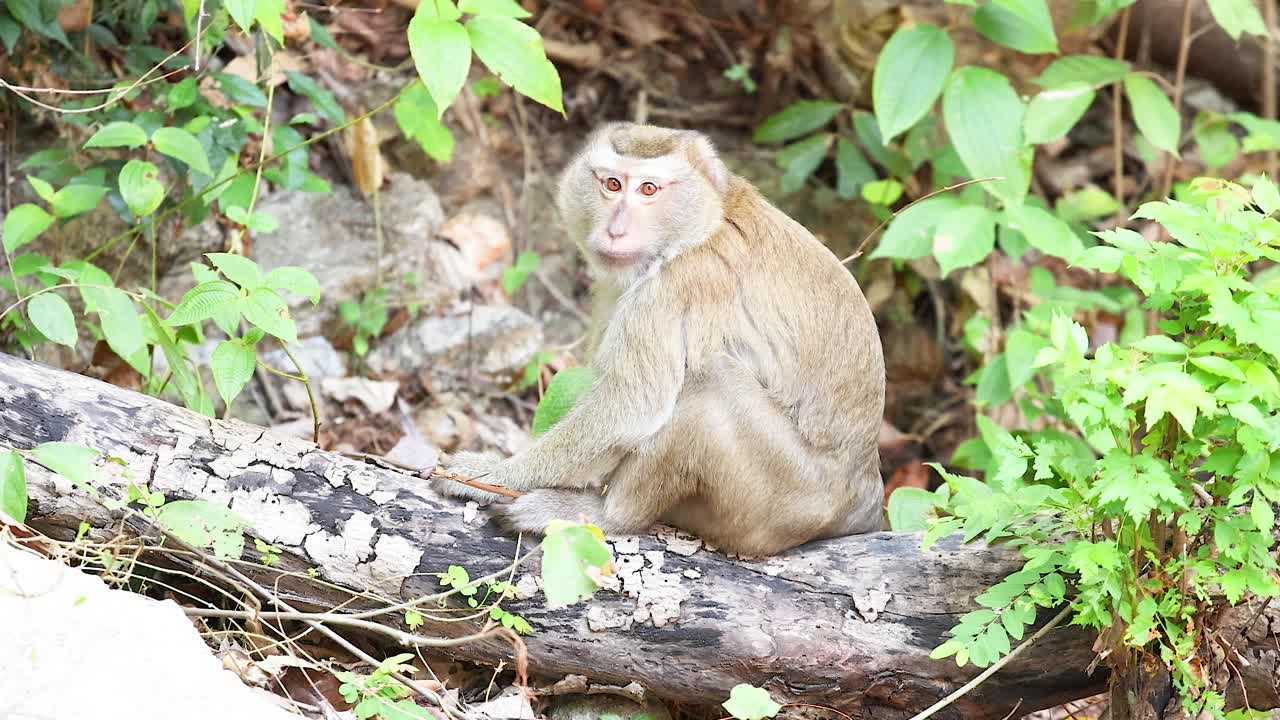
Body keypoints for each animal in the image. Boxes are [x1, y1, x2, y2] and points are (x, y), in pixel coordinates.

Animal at [432, 122, 886, 556]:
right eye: (612, 184)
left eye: (648, 189)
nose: (616, 230)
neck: (705, 224)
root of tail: (865, 496)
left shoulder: (676, 286)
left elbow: (630, 407)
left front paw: (493, 474)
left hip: (788, 501)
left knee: (708, 388)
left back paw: (609, 514)